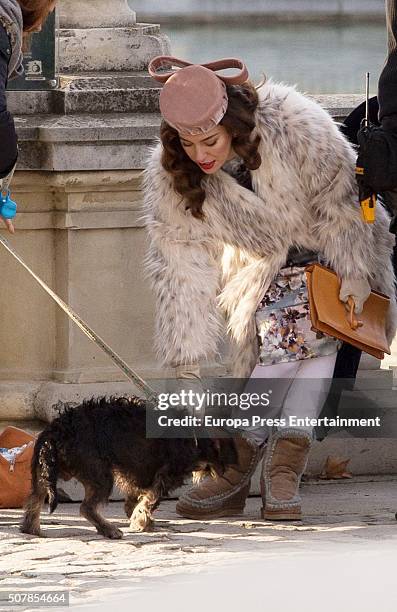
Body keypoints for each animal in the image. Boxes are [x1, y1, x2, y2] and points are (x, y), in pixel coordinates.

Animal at [20, 394, 235, 536]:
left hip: (43, 472)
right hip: (99, 474)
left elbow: (137, 498)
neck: (193, 437)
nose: (226, 471)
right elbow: (149, 500)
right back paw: (109, 529)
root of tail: (56, 429)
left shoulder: (138, 476)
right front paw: (141, 521)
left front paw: (137, 516)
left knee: (34, 500)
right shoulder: (164, 476)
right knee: (86, 508)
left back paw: (32, 529)